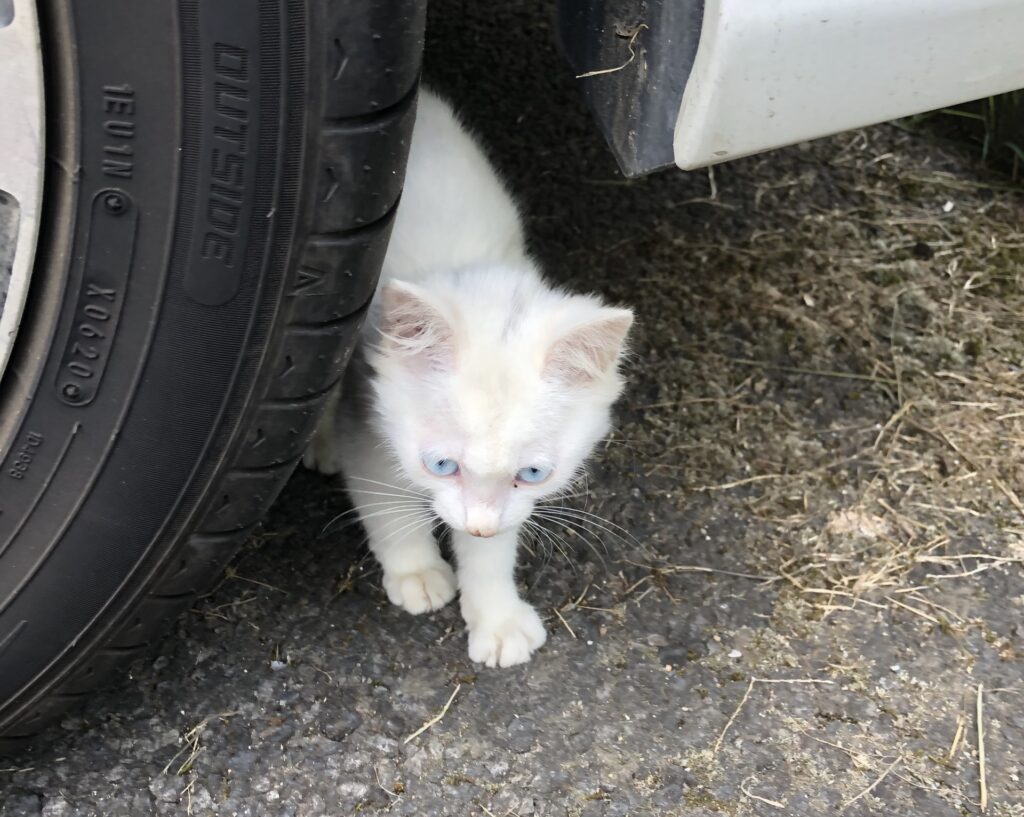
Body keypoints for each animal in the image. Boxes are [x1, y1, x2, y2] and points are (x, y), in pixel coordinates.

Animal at [305, 89, 630, 667]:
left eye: (533, 473)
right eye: (441, 465)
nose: (478, 521)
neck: (468, 268)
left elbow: (494, 545)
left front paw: (496, 616)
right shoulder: (368, 413)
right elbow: (384, 500)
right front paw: (415, 570)